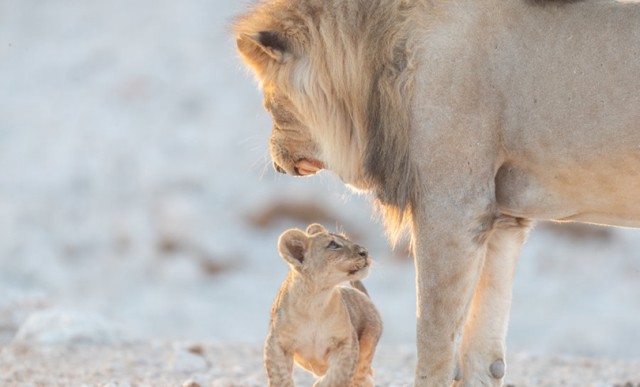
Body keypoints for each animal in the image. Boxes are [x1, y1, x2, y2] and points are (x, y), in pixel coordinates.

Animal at [234, 1, 640, 386]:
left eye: (269, 100)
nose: (276, 164)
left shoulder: (453, 208)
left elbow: (434, 340)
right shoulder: (503, 218)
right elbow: (483, 355)